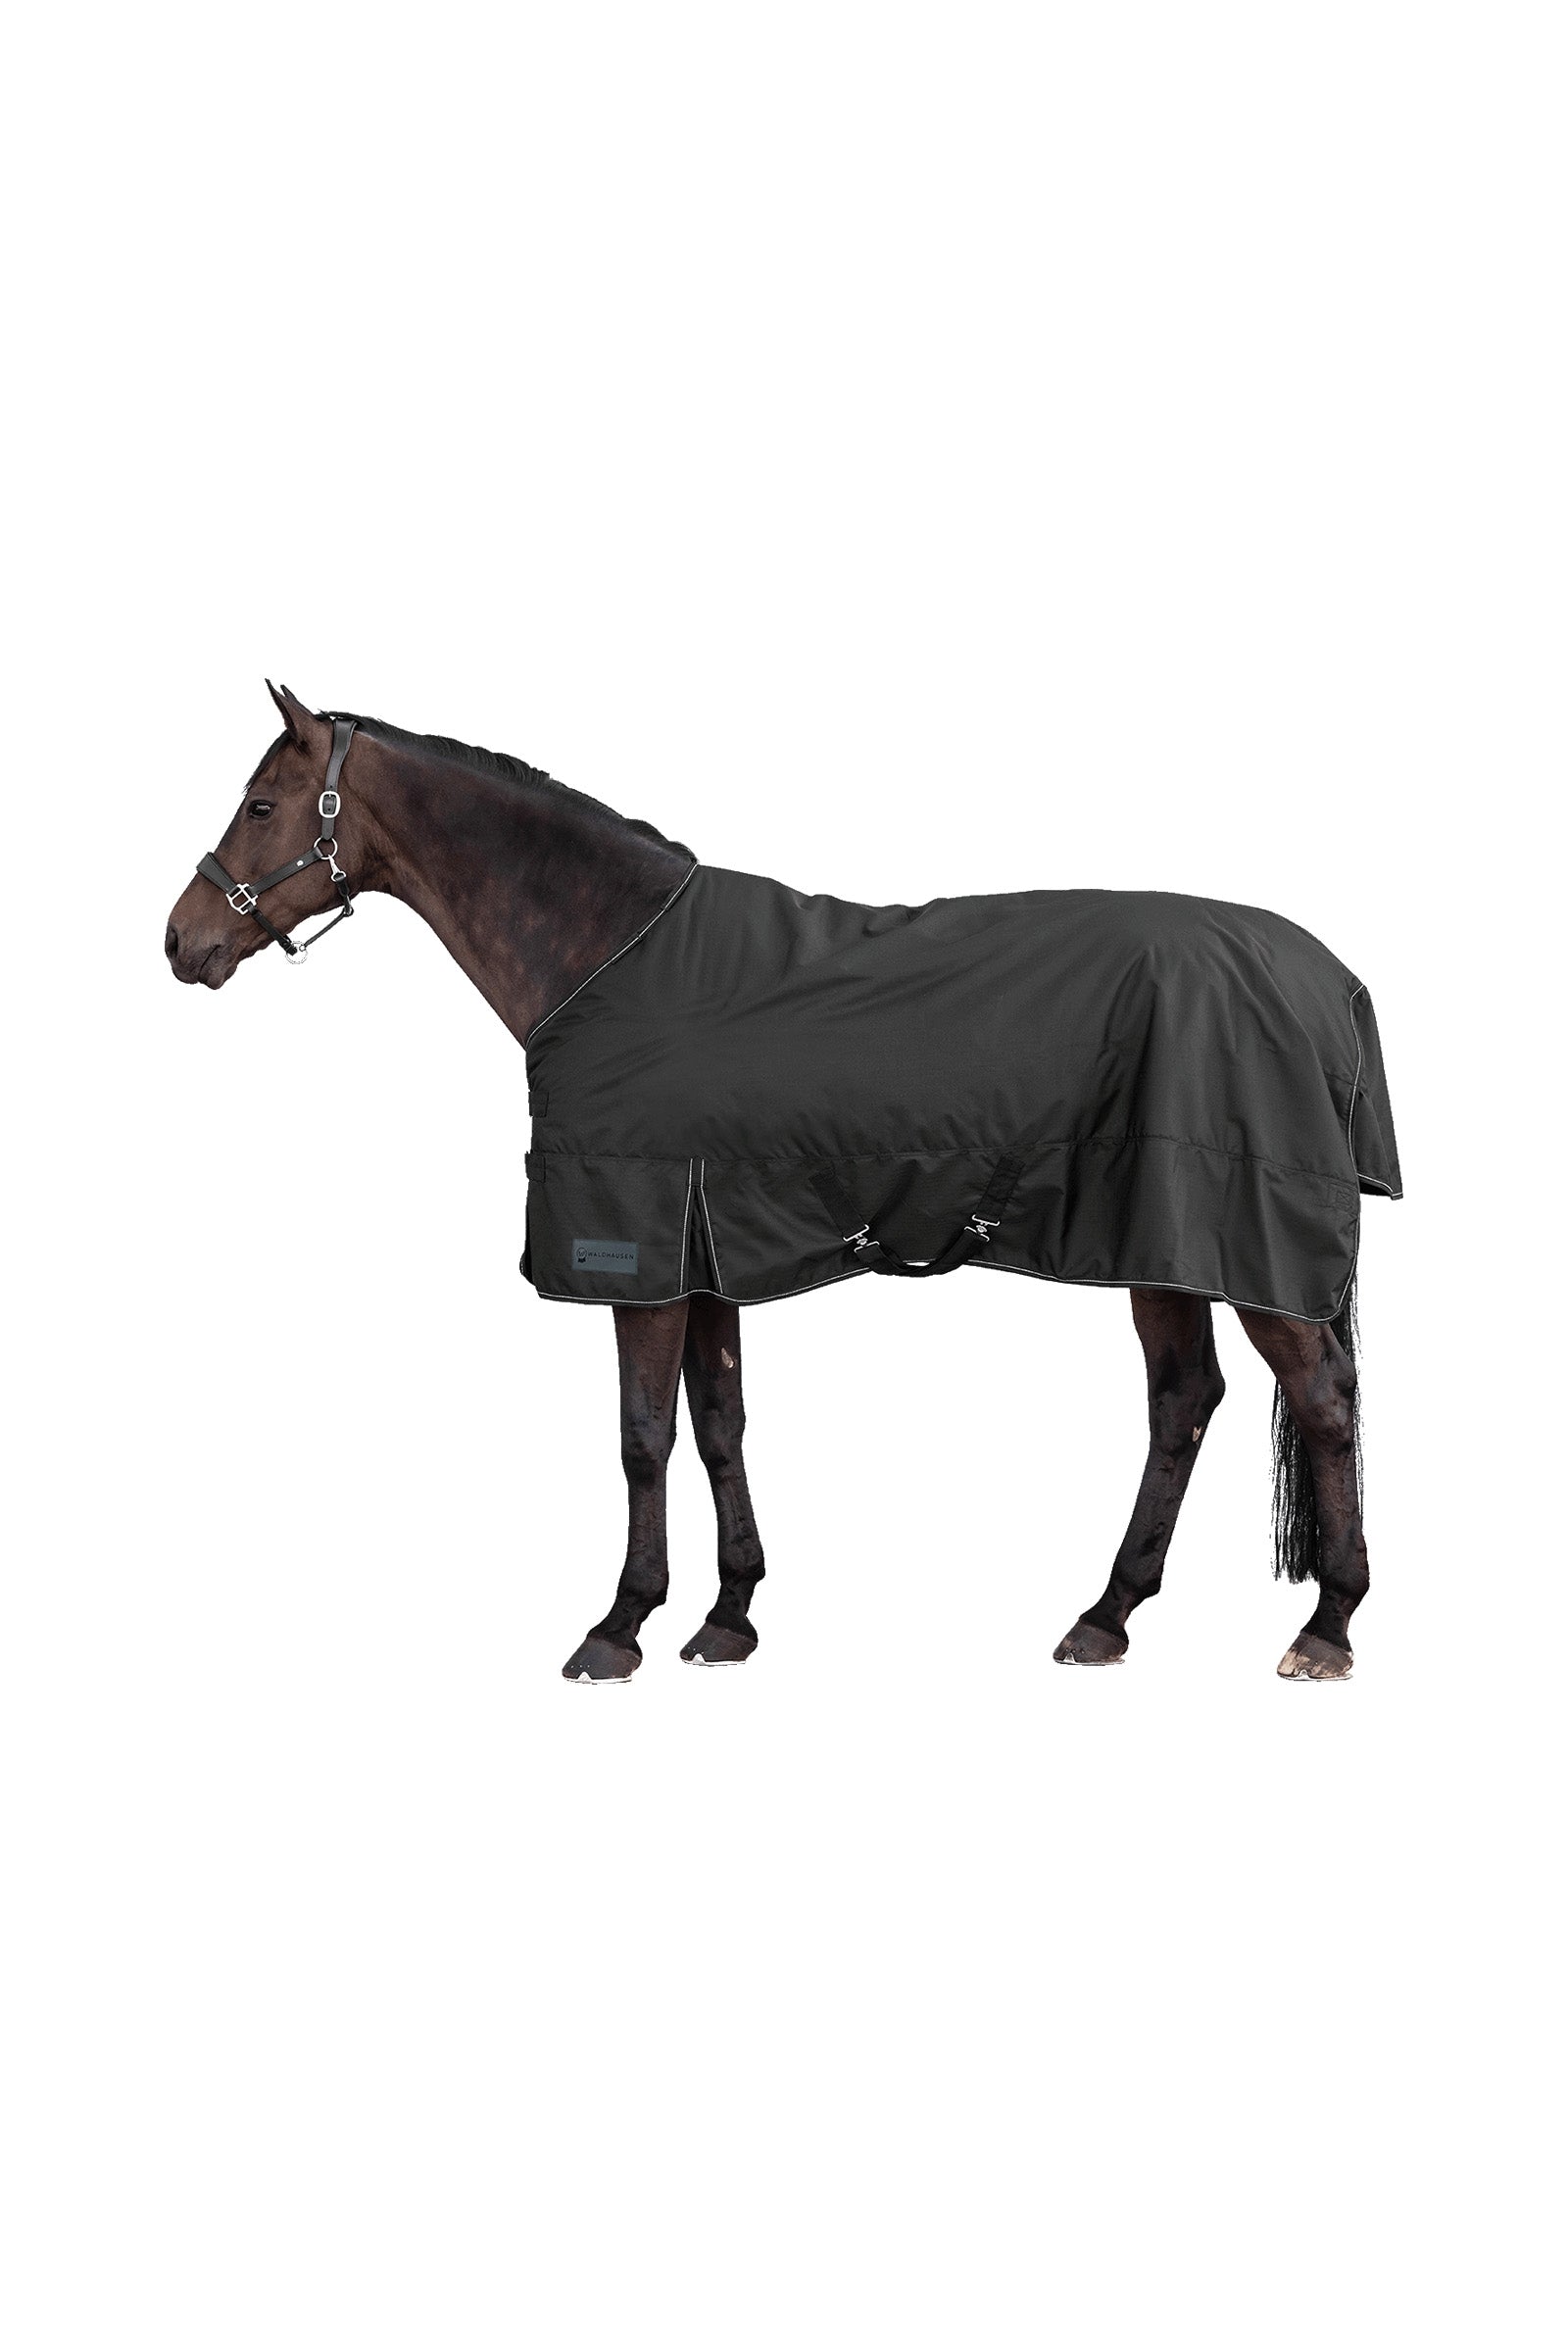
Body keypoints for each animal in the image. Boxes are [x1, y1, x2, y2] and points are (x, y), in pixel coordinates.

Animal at [166, 683, 1399, 1685]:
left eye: (262, 807)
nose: (182, 942)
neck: (608, 954)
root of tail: (1329, 980)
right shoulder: (706, 1244)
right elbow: (719, 1425)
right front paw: (728, 1618)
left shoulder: (639, 1249)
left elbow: (642, 1439)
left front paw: (618, 1627)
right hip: (1162, 1240)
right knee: (1183, 1401)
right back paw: (1105, 1616)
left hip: (1238, 1243)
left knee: (1321, 1401)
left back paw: (1326, 1628)